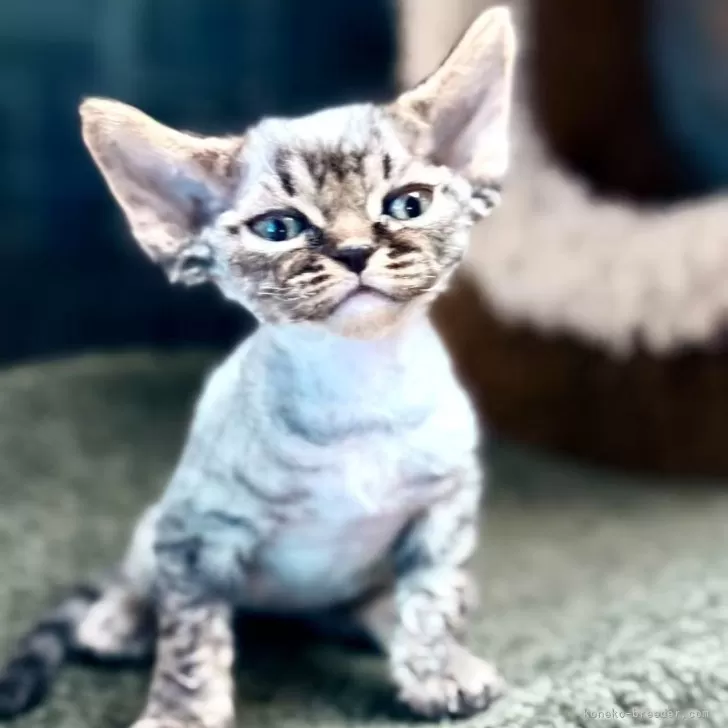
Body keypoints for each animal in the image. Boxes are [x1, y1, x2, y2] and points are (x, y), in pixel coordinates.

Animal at [0, 7, 515, 725]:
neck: (357, 392)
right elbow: (189, 641)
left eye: (407, 205)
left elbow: (432, 598)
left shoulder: (445, 506)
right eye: (279, 229)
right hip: (163, 521)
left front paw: (438, 667)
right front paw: (180, 714)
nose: (355, 251)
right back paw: (120, 618)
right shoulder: (197, 534)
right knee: (138, 576)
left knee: (371, 604)